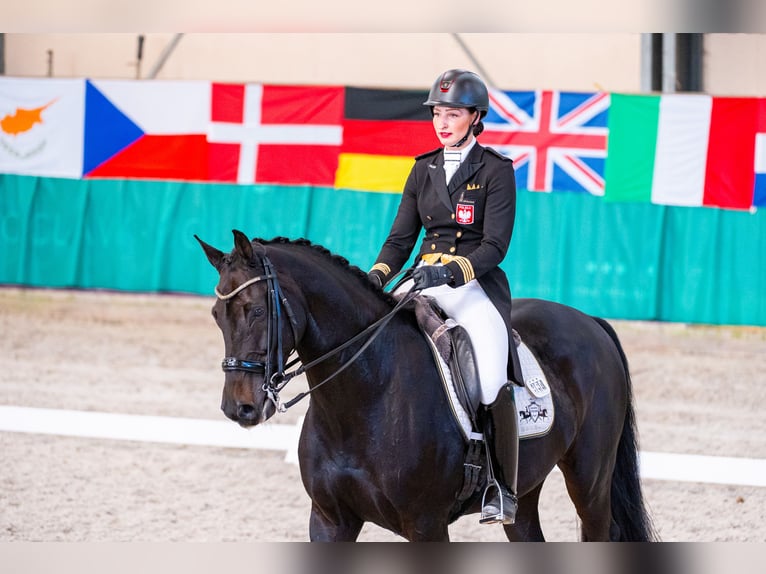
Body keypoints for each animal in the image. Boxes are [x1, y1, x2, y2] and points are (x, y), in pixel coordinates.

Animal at [195, 231, 656, 544]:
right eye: (216, 314)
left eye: (256, 310)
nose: (239, 408)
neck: (365, 396)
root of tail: (588, 320)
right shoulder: (329, 521)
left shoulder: (426, 525)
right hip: (525, 491)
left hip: (590, 480)